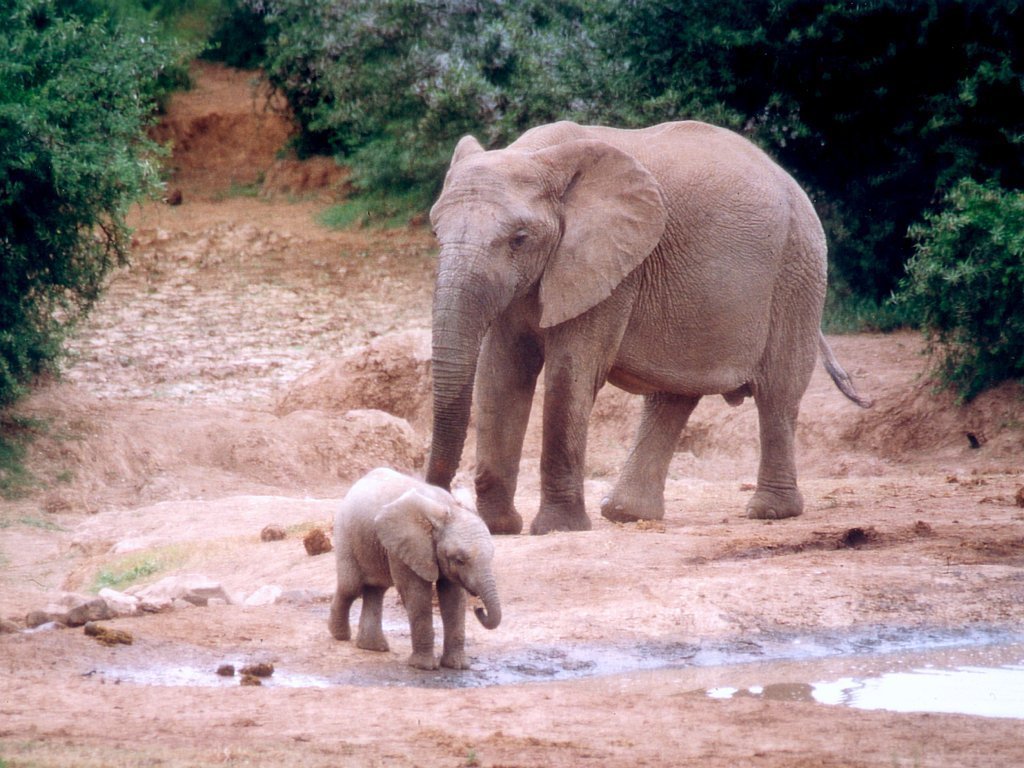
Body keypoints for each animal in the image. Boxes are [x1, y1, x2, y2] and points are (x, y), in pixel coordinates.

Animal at [327, 466, 499, 671]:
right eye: (460, 560)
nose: (479, 609)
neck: (447, 509)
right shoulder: (407, 544)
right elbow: (416, 592)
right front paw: (424, 667)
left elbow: (453, 597)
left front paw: (457, 666)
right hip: (345, 532)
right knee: (351, 587)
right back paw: (340, 636)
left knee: (376, 589)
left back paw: (373, 648)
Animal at [425, 123, 872, 536]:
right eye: (435, 233)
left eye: (519, 239)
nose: (438, 506)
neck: (539, 156)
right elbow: (501, 375)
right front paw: (499, 528)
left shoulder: (614, 269)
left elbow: (569, 375)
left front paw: (558, 529)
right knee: (673, 396)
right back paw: (626, 514)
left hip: (797, 272)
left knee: (778, 393)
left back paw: (769, 512)